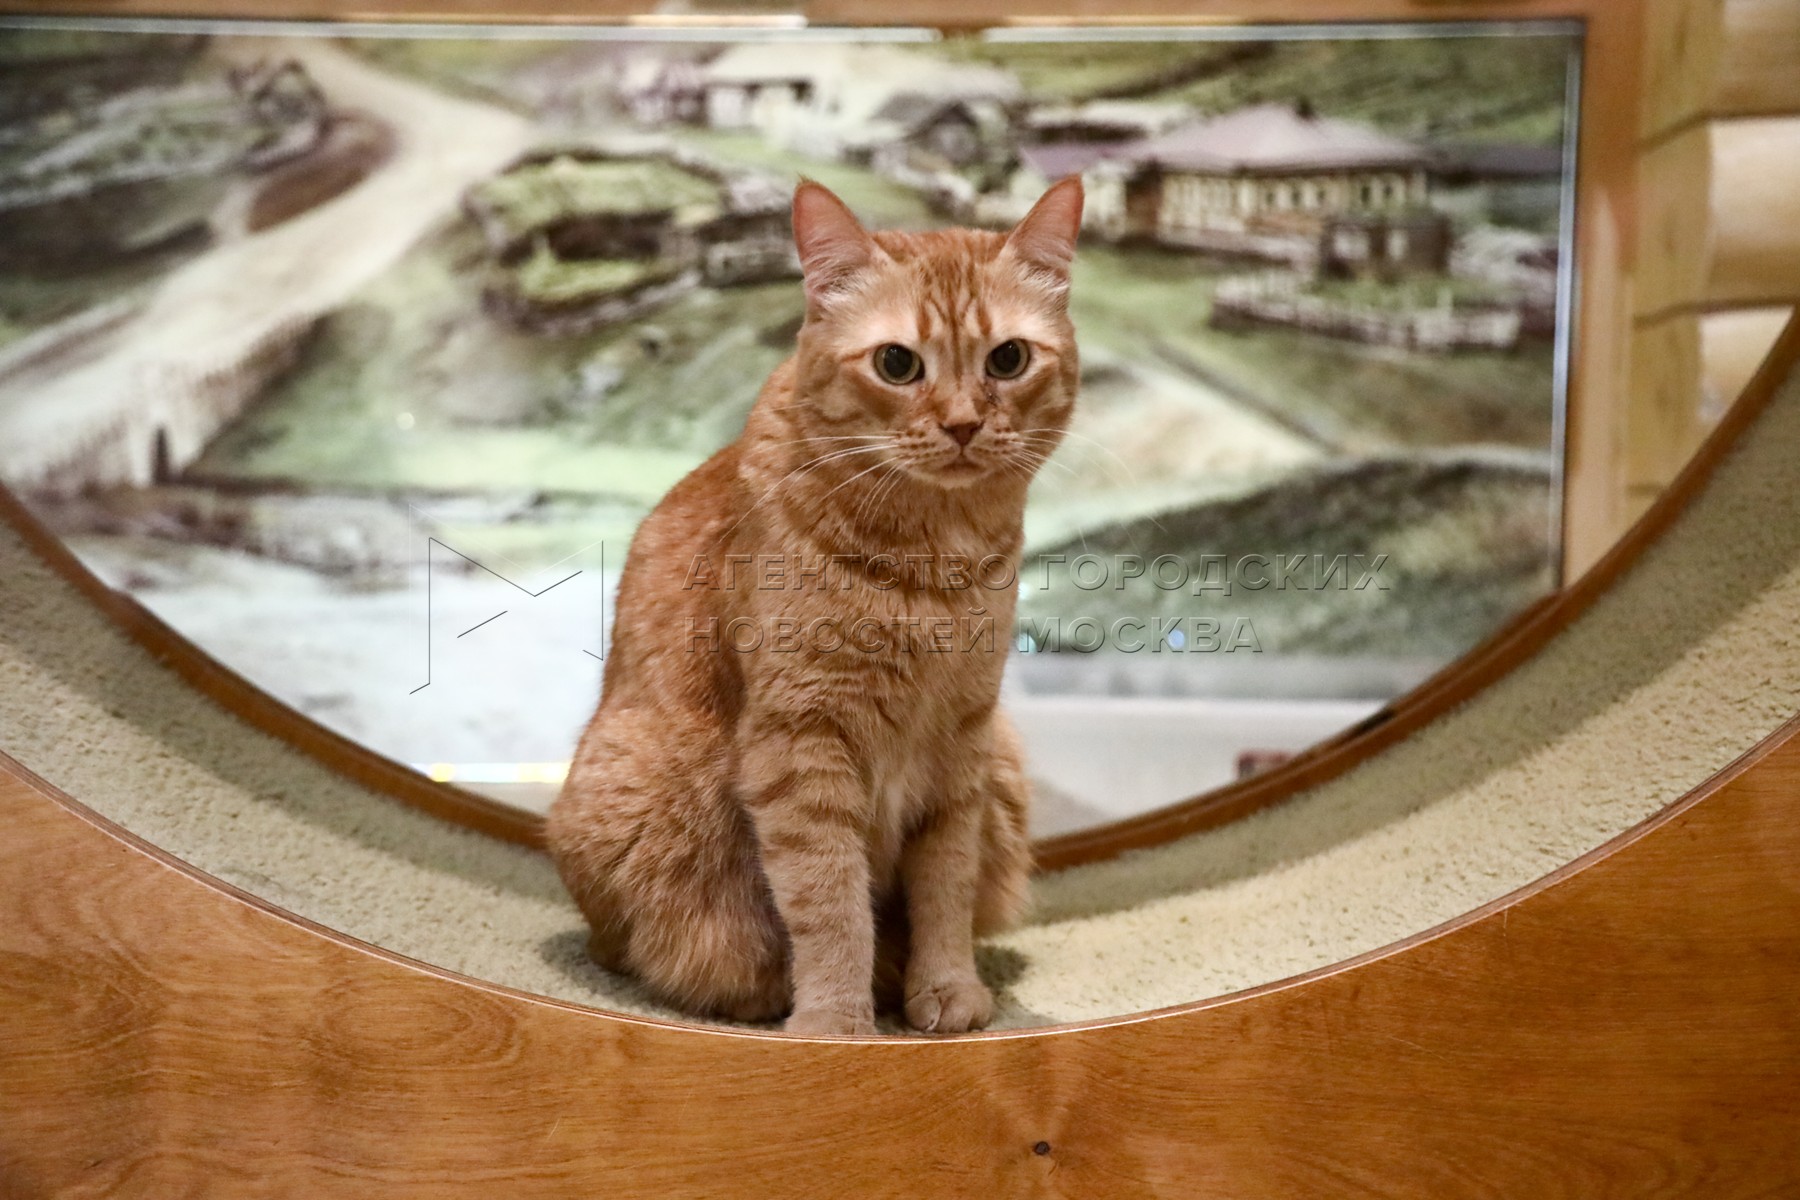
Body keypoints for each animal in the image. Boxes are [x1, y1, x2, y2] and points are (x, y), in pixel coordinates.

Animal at [545, 176, 1083, 1036]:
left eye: (1008, 358)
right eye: (898, 363)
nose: (963, 424)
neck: (934, 560)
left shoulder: (963, 744)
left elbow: (945, 888)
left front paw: (945, 989)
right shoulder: (801, 746)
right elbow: (831, 905)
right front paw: (837, 1025)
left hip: (1005, 766)